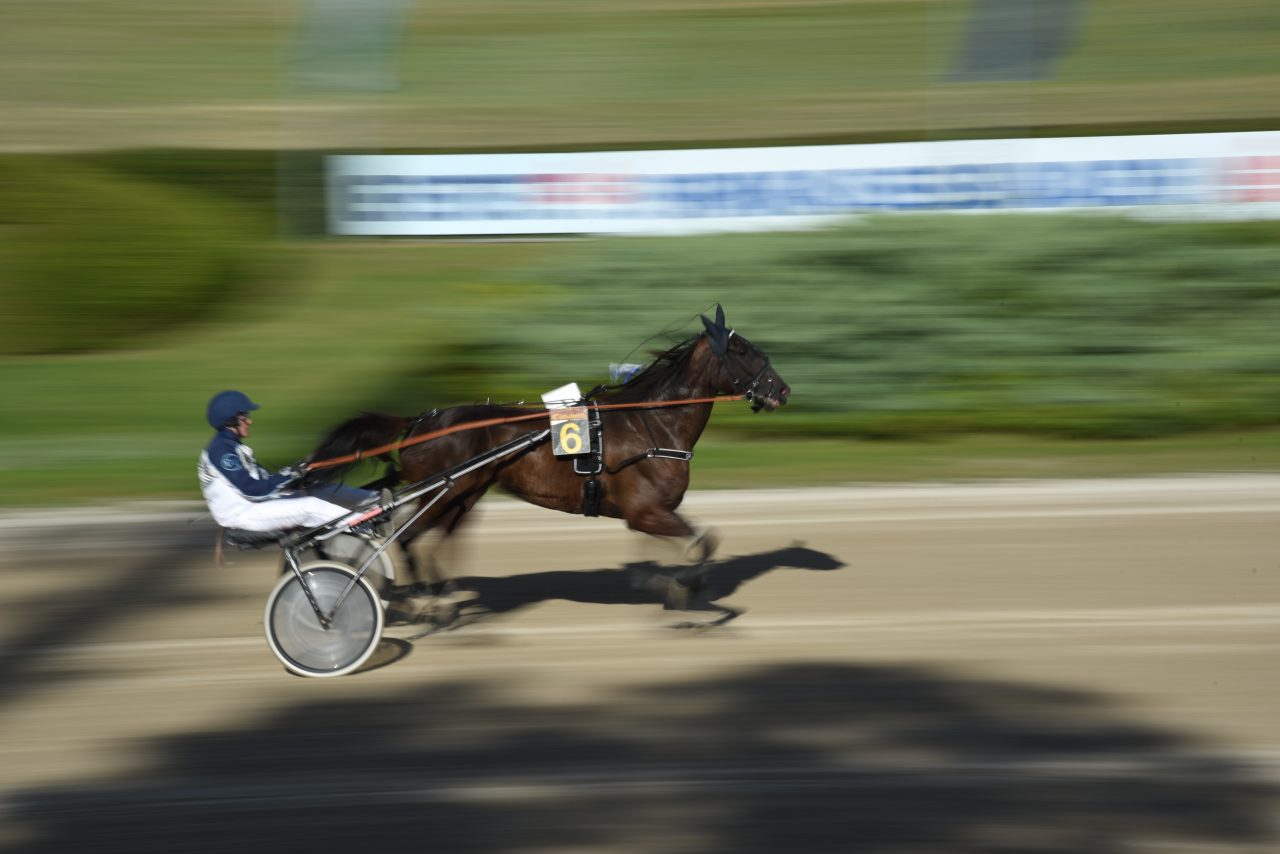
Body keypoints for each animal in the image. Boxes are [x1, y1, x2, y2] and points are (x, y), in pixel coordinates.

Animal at [304, 306, 790, 607]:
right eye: (743, 350)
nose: (782, 389)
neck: (652, 423)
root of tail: (421, 420)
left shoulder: (651, 515)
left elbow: (687, 547)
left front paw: (663, 583)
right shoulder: (646, 511)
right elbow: (702, 543)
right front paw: (686, 590)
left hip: (464, 496)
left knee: (434, 542)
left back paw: (446, 599)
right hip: (441, 494)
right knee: (408, 540)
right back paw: (427, 603)